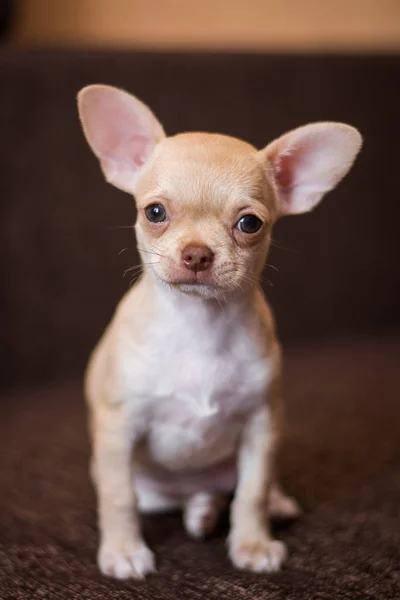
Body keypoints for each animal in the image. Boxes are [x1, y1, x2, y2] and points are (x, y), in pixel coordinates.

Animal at [77, 86, 362, 580]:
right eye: (155, 212)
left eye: (250, 223)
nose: (197, 254)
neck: (199, 324)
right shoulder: (118, 429)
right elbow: (118, 499)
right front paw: (123, 551)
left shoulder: (262, 427)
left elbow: (251, 494)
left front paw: (252, 544)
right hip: (144, 480)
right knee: (169, 497)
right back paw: (200, 512)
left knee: (235, 488)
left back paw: (248, 505)